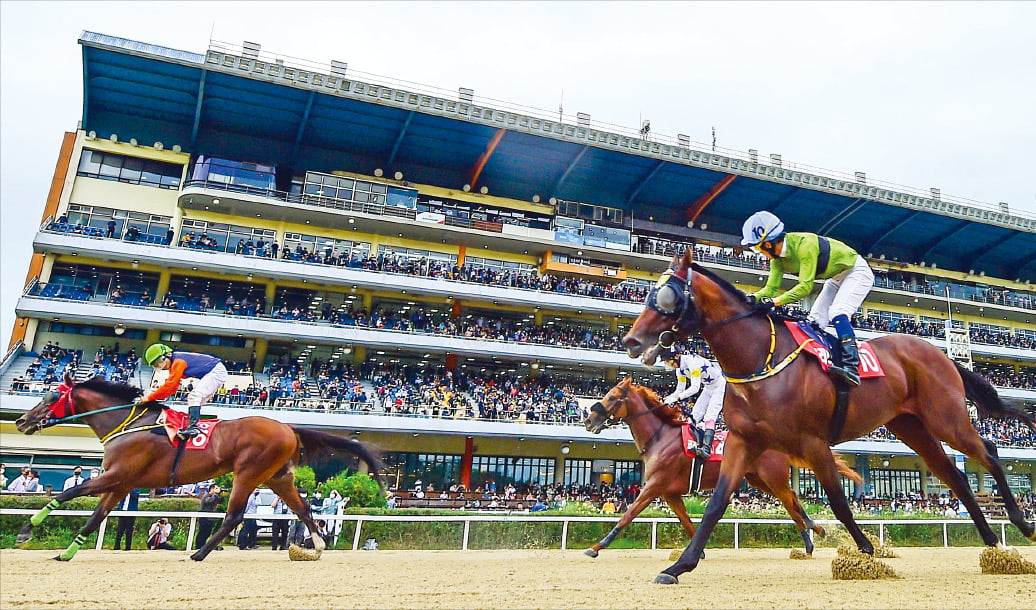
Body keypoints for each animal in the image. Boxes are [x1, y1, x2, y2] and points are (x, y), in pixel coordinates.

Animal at [13, 370, 385, 563]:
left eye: (50, 398)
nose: (20, 421)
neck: (128, 424)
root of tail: (289, 427)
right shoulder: (122, 482)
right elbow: (95, 517)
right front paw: (66, 553)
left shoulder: (116, 475)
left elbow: (69, 493)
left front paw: (27, 529)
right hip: (277, 478)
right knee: (304, 509)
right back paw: (316, 546)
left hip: (247, 472)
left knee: (235, 516)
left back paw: (197, 554)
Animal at [580, 381, 861, 555]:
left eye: (612, 397)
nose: (588, 420)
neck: (660, 436)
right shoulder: (669, 493)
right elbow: (686, 522)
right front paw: (698, 551)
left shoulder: (654, 485)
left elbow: (628, 514)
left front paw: (596, 547)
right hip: (758, 480)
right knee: (793, 500)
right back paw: (814, 532)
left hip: (772, 477)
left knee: (791, 501)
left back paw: (811, 538)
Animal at [621, 248, 1036, 584]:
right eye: (646, 291)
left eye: (667, 295)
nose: (631, 341)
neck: (760, 359)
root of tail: (938, 352)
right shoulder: (743, 441)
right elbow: (716, 504)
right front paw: (679, 566)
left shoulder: (813, 442)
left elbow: (838, 500)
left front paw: (866, 552)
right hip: (911, 426)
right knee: (956, 478)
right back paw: (991, 542)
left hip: (946, 417)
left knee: (988, 452)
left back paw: (1022, 523)